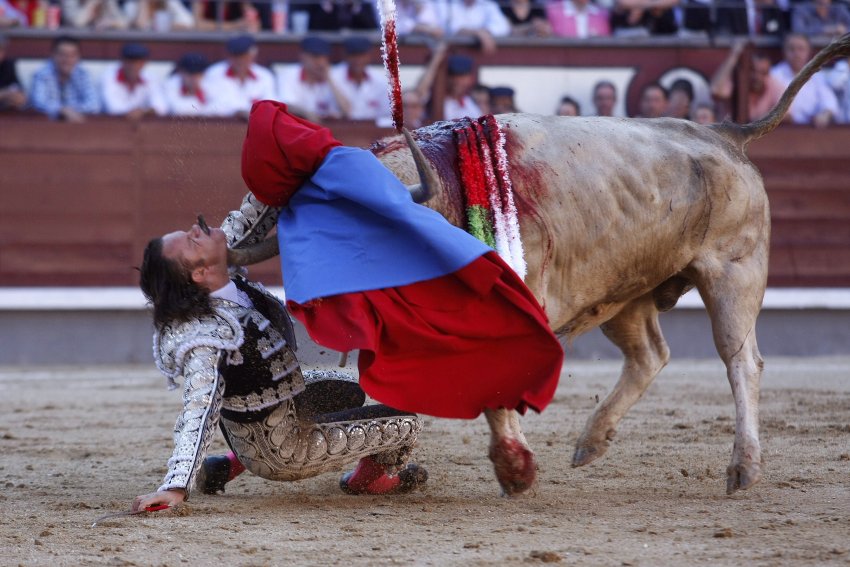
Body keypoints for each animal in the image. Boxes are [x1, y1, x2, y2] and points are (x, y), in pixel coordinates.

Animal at [227, 34, 848, 496]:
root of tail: (725, 132)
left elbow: (494, 389)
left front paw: (514, 469)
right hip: (622, 290)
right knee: (650, 354)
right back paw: (591, 442)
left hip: (733, 273)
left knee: (741, 360)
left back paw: (743, 468)